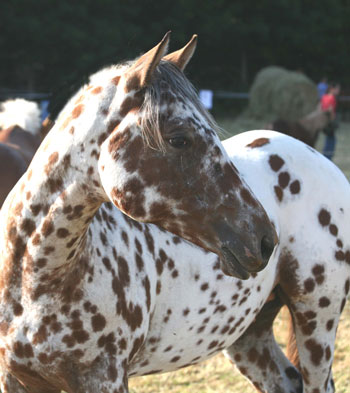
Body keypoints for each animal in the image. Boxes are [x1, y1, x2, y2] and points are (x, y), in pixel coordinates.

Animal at [0, 34, 276, 392]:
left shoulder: (106, 377)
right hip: (250, 339)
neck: (33, 277)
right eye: (179, 139)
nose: (265, 240)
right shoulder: (15, 378)